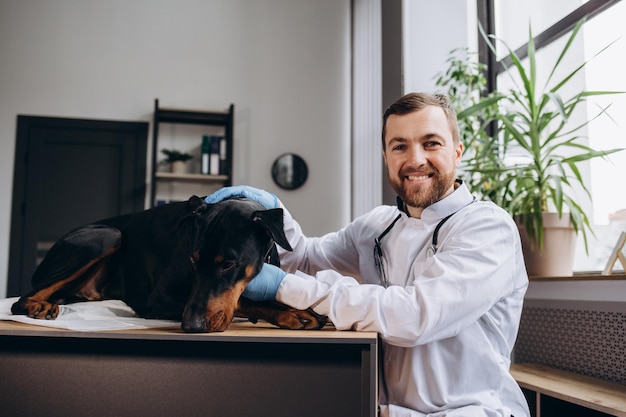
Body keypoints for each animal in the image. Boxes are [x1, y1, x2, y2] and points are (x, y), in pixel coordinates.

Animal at [11, 194, 326, 332]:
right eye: (192, 260)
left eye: (228, 264)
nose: (191, 325)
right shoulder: (158, 299)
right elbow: (244, 301)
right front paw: (291, 313)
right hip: (108, 234)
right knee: (20, 300)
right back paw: (39, 306)